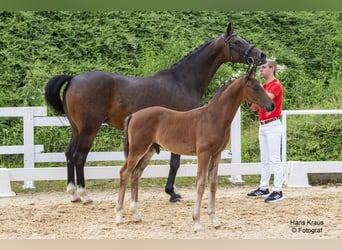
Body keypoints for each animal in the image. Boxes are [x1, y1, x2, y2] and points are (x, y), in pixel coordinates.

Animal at [44, 22, 266, 204]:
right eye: (237, 41)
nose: (261, 55)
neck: (183, 81)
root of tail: (74, 79)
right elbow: (175, 163)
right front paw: (172, 193)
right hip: (90, 128)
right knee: (79, 156)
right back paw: (84, 195)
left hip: (76, 129)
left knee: (69, 154)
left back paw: (73, 193)